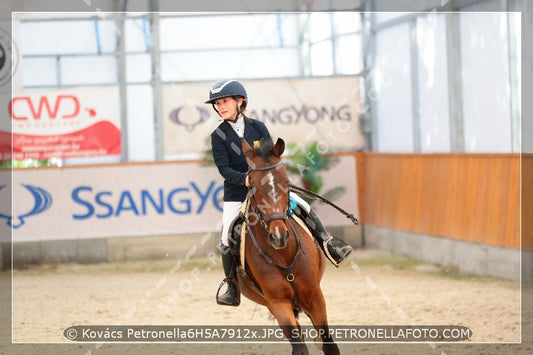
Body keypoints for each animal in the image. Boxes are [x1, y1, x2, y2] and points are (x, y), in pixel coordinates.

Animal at [234, 138, 340, 355]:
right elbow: (299, 347)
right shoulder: (278, 303)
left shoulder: (315, 296)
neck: (284, 255)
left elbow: (329, 345)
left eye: (286, 183)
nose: (278, 236)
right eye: (253, 186)